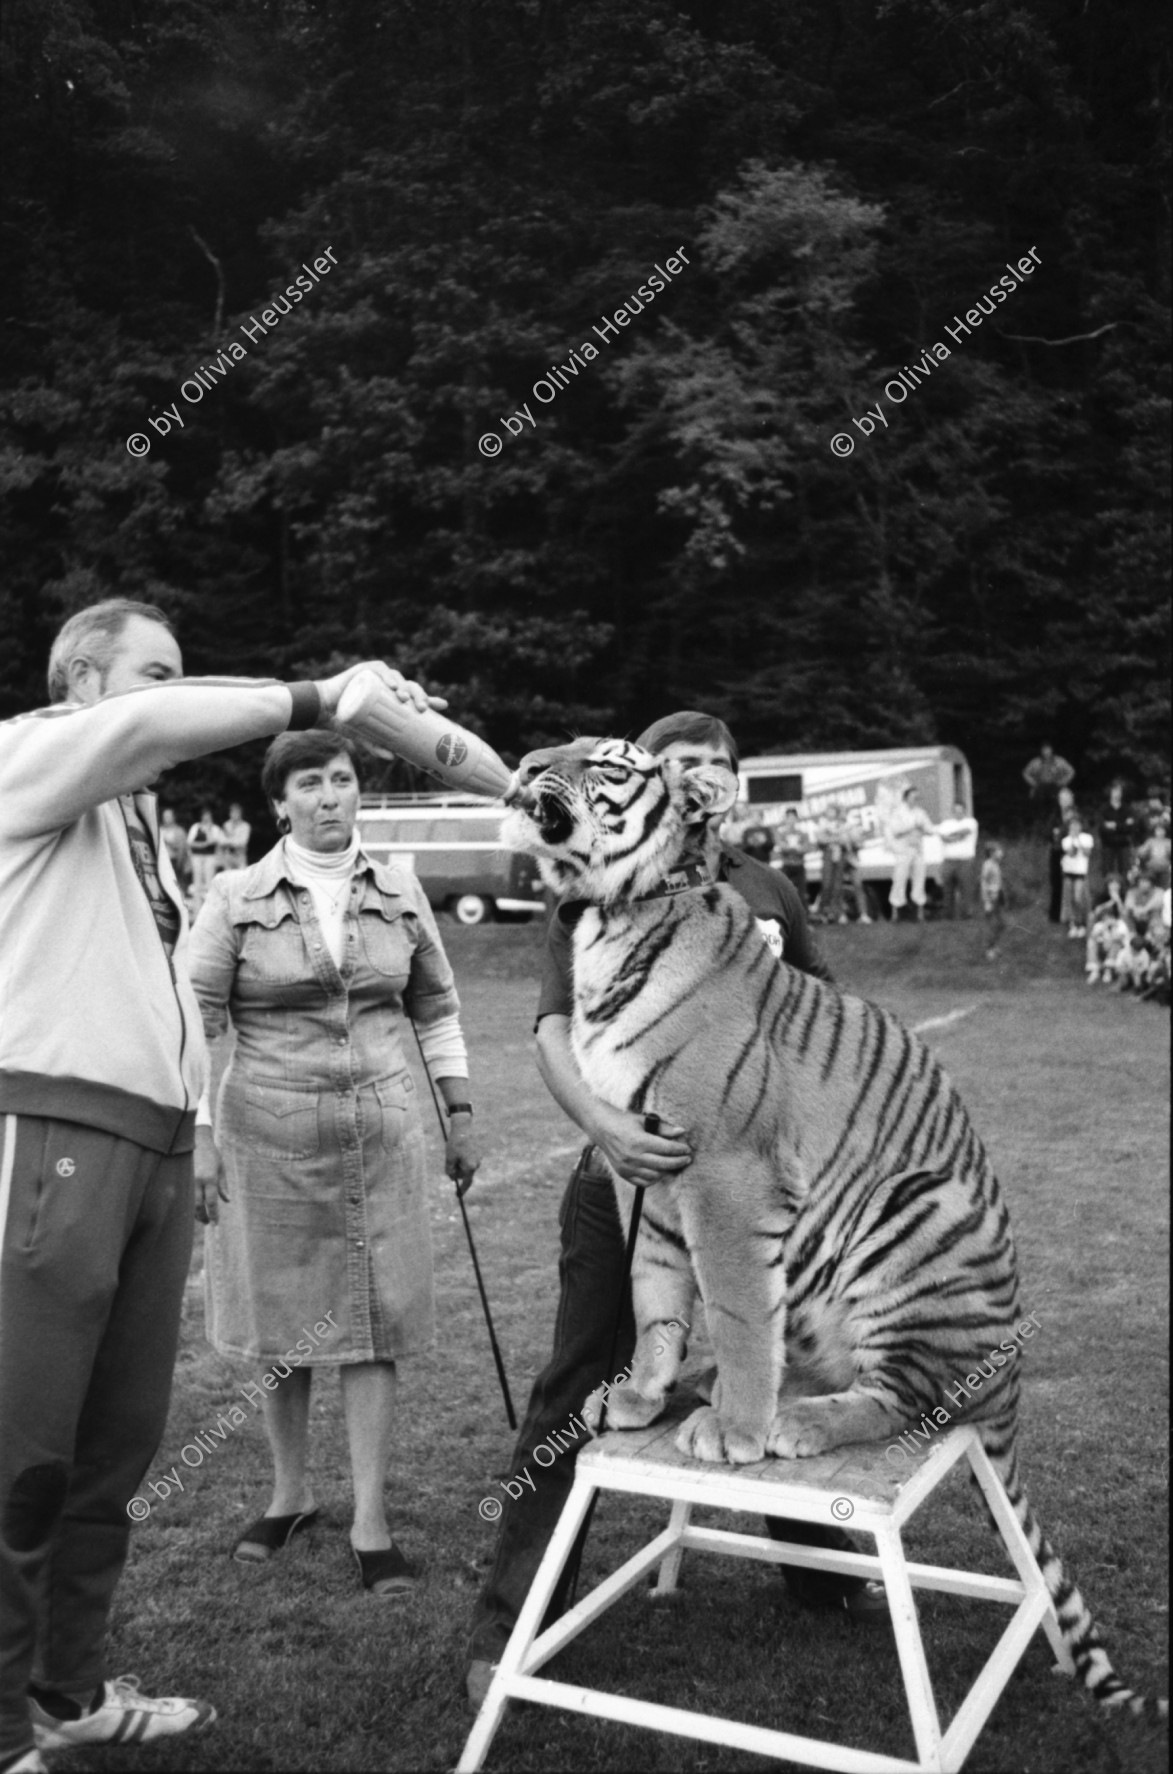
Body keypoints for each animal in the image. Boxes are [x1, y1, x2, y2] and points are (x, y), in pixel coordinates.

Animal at [500, 730, 1164, 1717]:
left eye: (607, 762)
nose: (522, 761)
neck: (613, 918)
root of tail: (1007, 1392)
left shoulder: (727, 1174)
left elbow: (735, 1308)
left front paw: (733, 1428)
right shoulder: (642, 1172)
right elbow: (655, 1299)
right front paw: (642, 1394)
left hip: (916, 1215)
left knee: (902, 1399)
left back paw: (788, 1423)